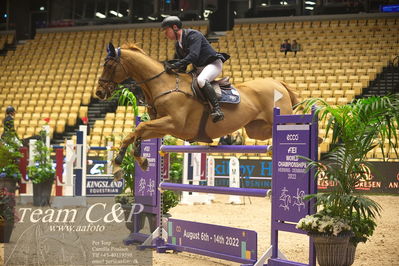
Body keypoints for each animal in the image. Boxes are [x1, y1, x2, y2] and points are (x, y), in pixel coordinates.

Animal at [96, 42, 296, 177]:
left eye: (109, 65)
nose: (99, 92)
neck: (163, 84)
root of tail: (278, 83)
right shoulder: (161, 126)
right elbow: (135, 133)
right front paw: (135, 162)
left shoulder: (173, 124)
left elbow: (139, 128)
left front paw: (120, 163)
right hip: (257, 130)